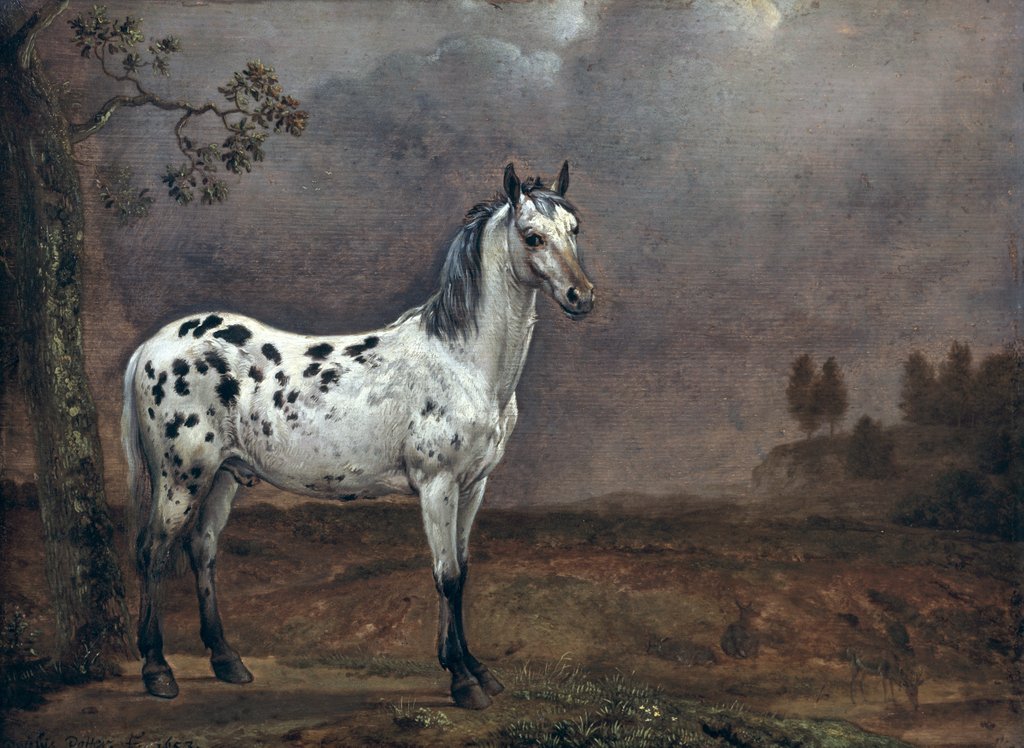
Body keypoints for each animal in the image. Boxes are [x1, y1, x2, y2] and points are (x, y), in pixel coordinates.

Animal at [121, 162, 594, 710]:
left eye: (574, 229)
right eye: (533, 236)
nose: (582, 297)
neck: (462, 362)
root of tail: (151, 347)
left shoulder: (474, 486)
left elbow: (462, 571)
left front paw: (474, 668)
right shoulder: (437, 486)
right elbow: (447, 575)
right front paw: (462, 680)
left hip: (224, 475)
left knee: (203, 550)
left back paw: (226, 660)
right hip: (181, 478)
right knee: (152, 552)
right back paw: (157, 670)